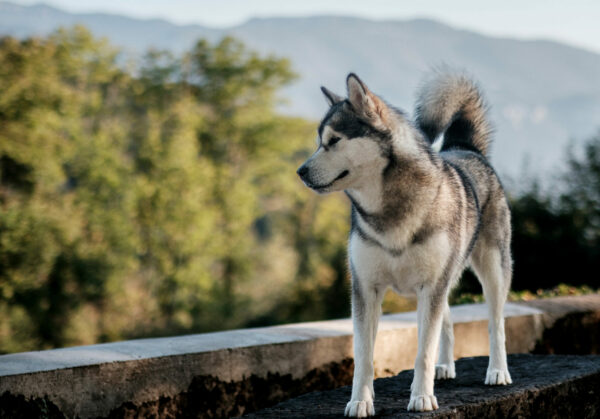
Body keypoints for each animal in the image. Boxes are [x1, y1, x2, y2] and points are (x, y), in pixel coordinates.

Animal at [296, 72, 510, 416]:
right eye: (320, 142)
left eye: (334, 140)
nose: (300, 172)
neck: (388, 210)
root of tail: (464, 148)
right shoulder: (366, 287)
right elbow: (364, 357)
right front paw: (360, 401)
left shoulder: (430, 285)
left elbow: (423, 352)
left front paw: (421, 397)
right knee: (447, 321)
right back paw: (445, 366)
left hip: (492, 269)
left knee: (496, 323)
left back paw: (498, 371)